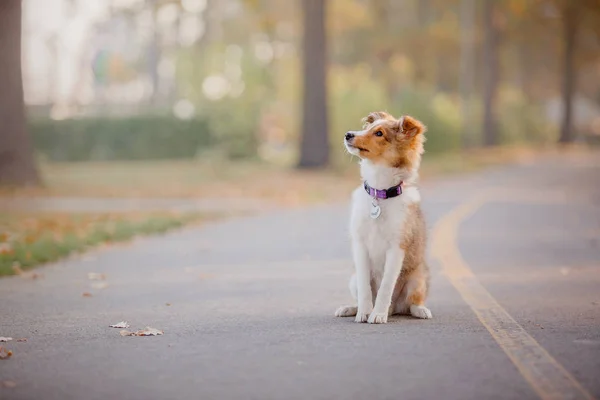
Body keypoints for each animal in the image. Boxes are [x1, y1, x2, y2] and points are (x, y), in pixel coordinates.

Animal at [338, 111, 432, 324]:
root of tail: (394, 309)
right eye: (366, 128)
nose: (348, 134)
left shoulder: (397, 247)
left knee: (411, 304)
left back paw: (417, 310)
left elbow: (386, 286)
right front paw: (364, 312)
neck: (379, 195)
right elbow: (365, 287)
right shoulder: (360, 245)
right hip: (352, 279)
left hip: (418, 279)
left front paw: (378, 314)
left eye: (379, 133)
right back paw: (350, 308)